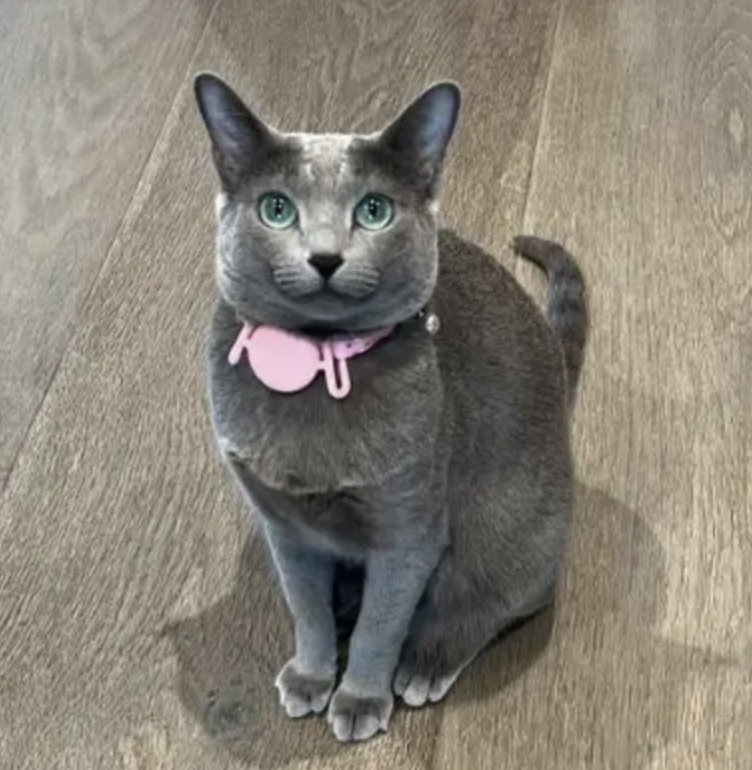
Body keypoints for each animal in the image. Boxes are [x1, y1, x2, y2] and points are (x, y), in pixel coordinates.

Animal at [192, 75, 588, 740]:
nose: (326, 256)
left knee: (503, 603)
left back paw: (427, 663)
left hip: (502, 532)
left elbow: (383, 626)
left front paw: (359, 698)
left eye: (373, 211)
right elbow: (306, 608)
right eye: (277, 208)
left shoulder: (408, 531)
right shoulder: (283, 527)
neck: (316, 368)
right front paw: (312, 675)